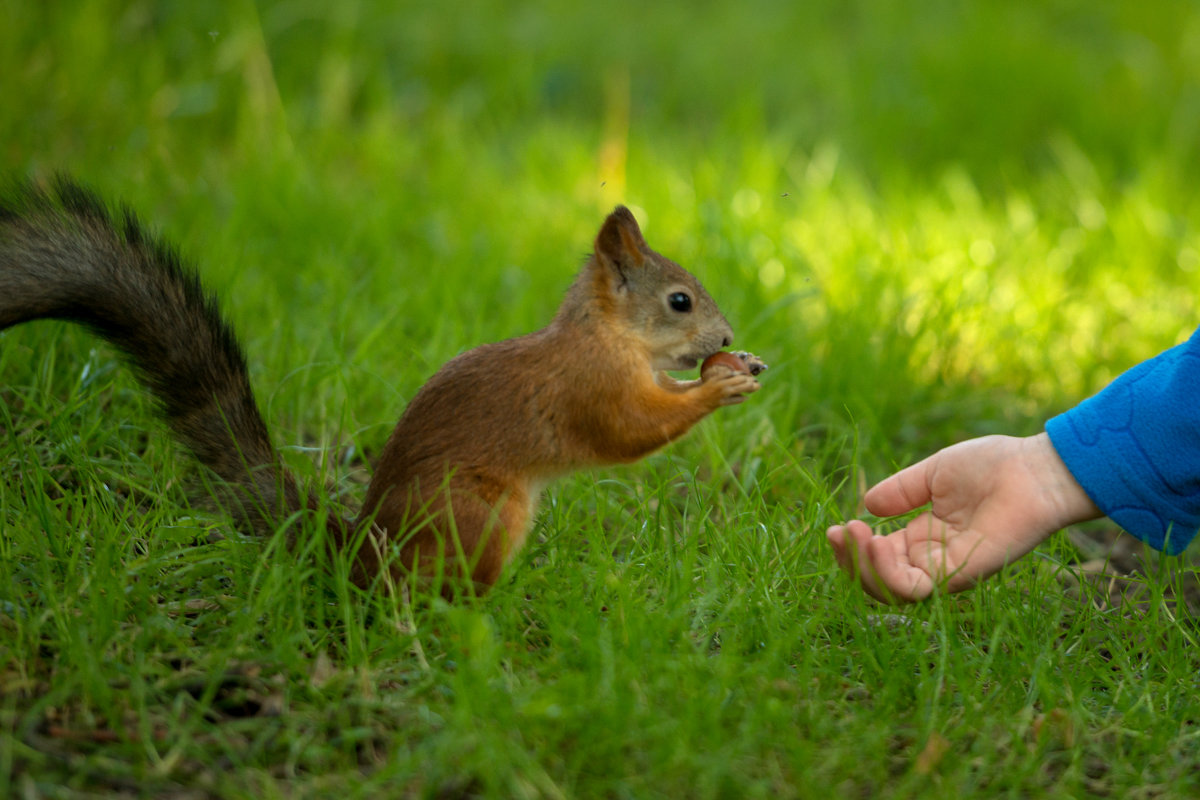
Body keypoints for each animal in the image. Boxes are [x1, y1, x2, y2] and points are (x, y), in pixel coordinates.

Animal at [0, 178, 763, 597]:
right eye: (679, 302)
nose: (727, 338)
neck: (604, 333)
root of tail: (364, 552)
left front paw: (737, 367)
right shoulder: (591, 388)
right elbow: (631, 432)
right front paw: (718, 391)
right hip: (480, 516)